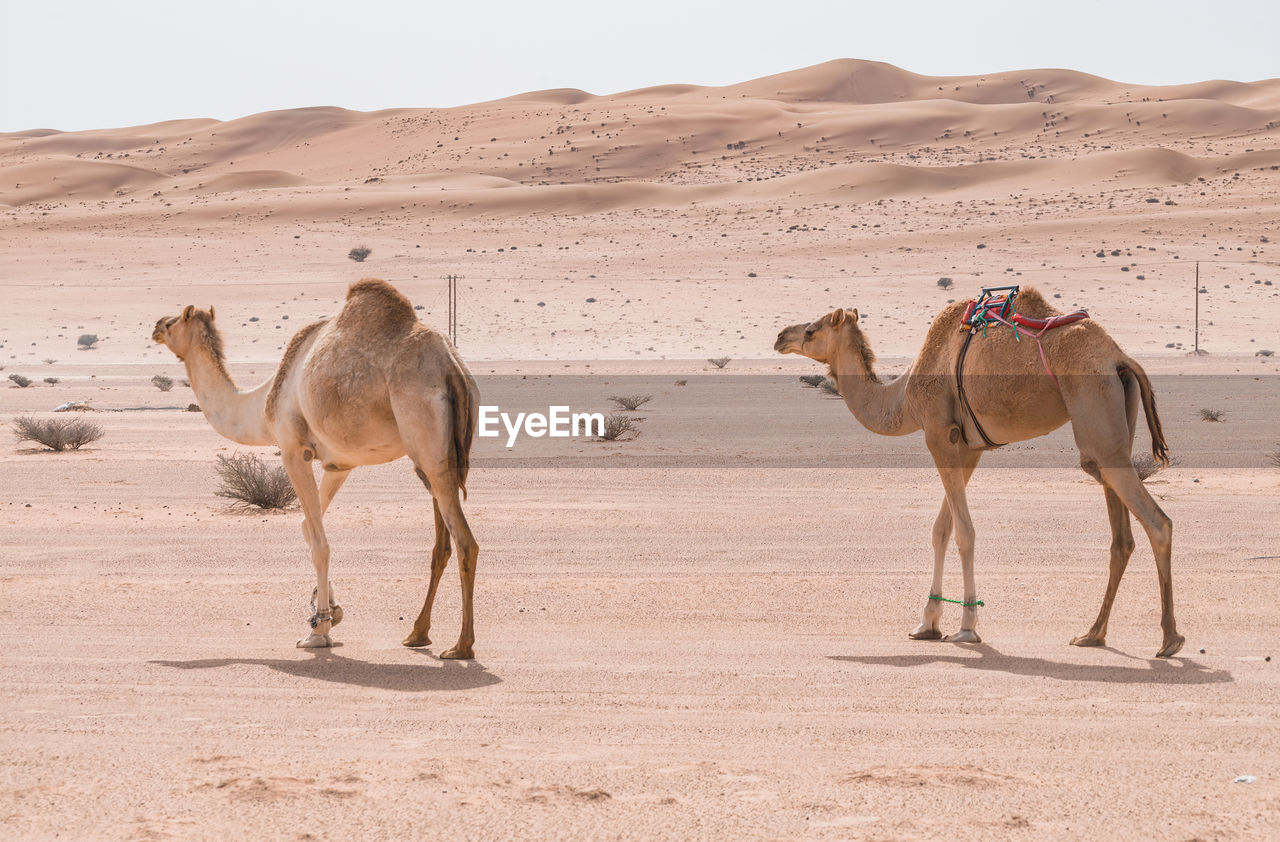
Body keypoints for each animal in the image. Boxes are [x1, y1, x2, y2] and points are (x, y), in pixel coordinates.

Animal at [152, 275, 481, 655]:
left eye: (175, 321)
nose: (155, 327)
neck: (262, 404)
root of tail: (452, 368)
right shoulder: (338, 465)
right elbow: (308, 529)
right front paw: (330, 612)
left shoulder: (294, 450)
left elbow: (320, 543)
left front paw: (318, 630)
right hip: (436, 458)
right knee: (442, 543)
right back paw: (418, 632)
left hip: (427, 444)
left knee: (465, 542)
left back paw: (461, 645)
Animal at [773, 286, 1182, 655]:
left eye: (811, 331)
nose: (780, 337)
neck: (903, 397)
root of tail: (1119, 356)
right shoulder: (968, 447)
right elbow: (941, 529)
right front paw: (926, 623)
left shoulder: (938, 435)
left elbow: (964, 533)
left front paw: (967, 627)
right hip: (1117, 418)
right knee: (1121, 536)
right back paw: (1092, 634)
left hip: (1094, 406)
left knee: (1157, 521)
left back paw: (1169, 639)